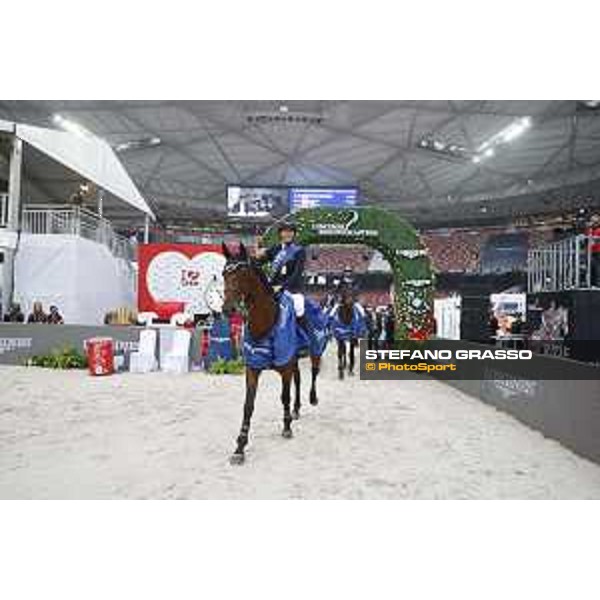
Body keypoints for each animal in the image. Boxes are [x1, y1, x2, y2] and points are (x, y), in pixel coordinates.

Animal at [221, 243, 324, 464]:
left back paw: (312, 399)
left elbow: (284, 396)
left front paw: (286, 427)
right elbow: (248, 405)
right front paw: (240, 447)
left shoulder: (284, 366)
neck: (265, 323)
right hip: (294, 360)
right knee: (298, 379)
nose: (227, 308)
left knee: (313, 373)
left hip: (315, 349)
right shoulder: (253, 368)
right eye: (224, 273)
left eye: (242, 273)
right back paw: (296, 409)